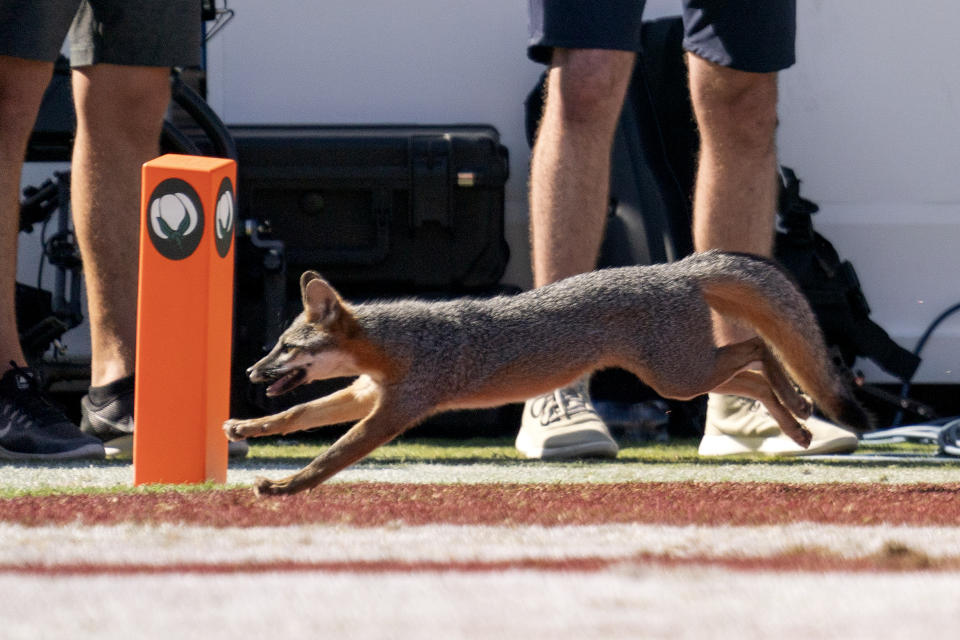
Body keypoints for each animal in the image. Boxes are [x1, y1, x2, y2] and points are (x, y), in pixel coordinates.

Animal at [223, 250, 872, 496]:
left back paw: (800, 413)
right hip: (683, 374)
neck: (400, 342)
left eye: (285, 347)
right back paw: (797, 424)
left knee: (758, 347)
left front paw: (286, 486)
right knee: (753, 366)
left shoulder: (394, 412)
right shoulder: (365, 395)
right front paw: (247, 429)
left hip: (679, 377)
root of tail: (677, 267)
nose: (252, 369)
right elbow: (296, 415)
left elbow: (332, 455)